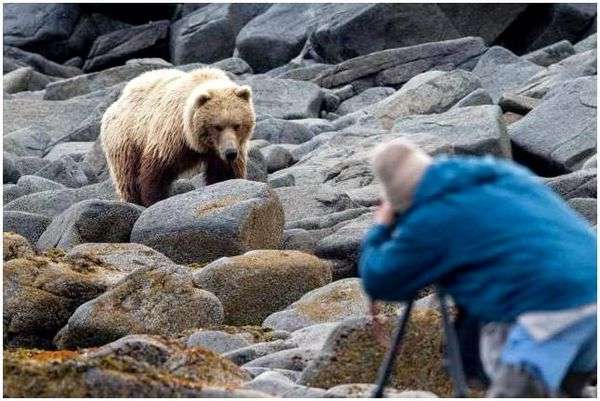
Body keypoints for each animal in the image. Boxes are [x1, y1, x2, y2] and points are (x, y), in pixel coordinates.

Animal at [99, 67, 254, 206]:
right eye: (217, 126)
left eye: (237, 125)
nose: (230, 152)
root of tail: (117, 102)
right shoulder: (171, 135)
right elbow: (156, 170)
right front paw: (153, 199)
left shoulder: (226, 149)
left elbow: (224, 172)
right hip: (126, 139)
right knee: (128, 177)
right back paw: (132, 200)